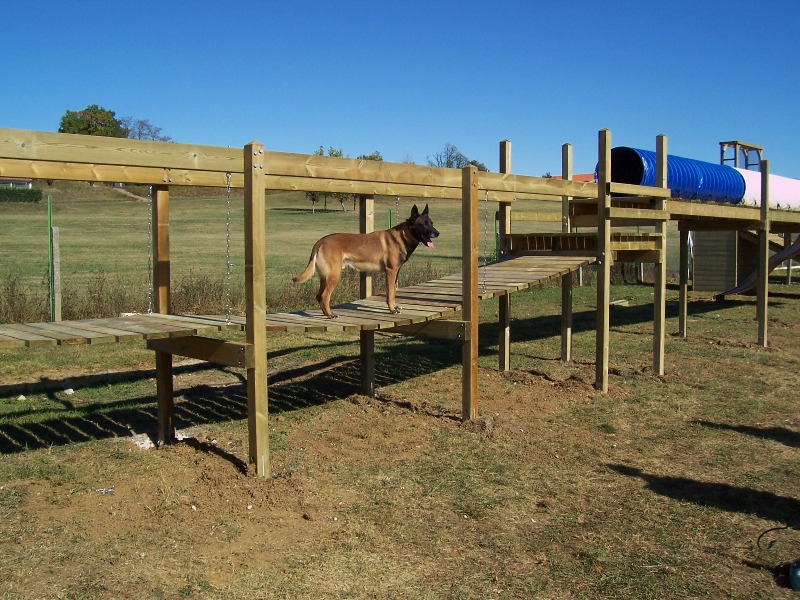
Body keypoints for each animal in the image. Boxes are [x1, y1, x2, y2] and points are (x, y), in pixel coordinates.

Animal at [292, 204, 440, 318]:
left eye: (431, 223)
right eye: (423, 224)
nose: (437, 233)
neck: (403, 236)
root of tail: (321, 241)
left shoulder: (395, 272)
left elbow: (393, 292)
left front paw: (395, 307)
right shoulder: (390, 272)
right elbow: (390, 294)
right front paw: (392, 310)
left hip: (326, 277)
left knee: (319, 296)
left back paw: (325, 313)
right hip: (334, 276)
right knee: (324, 296)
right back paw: (330, 314)